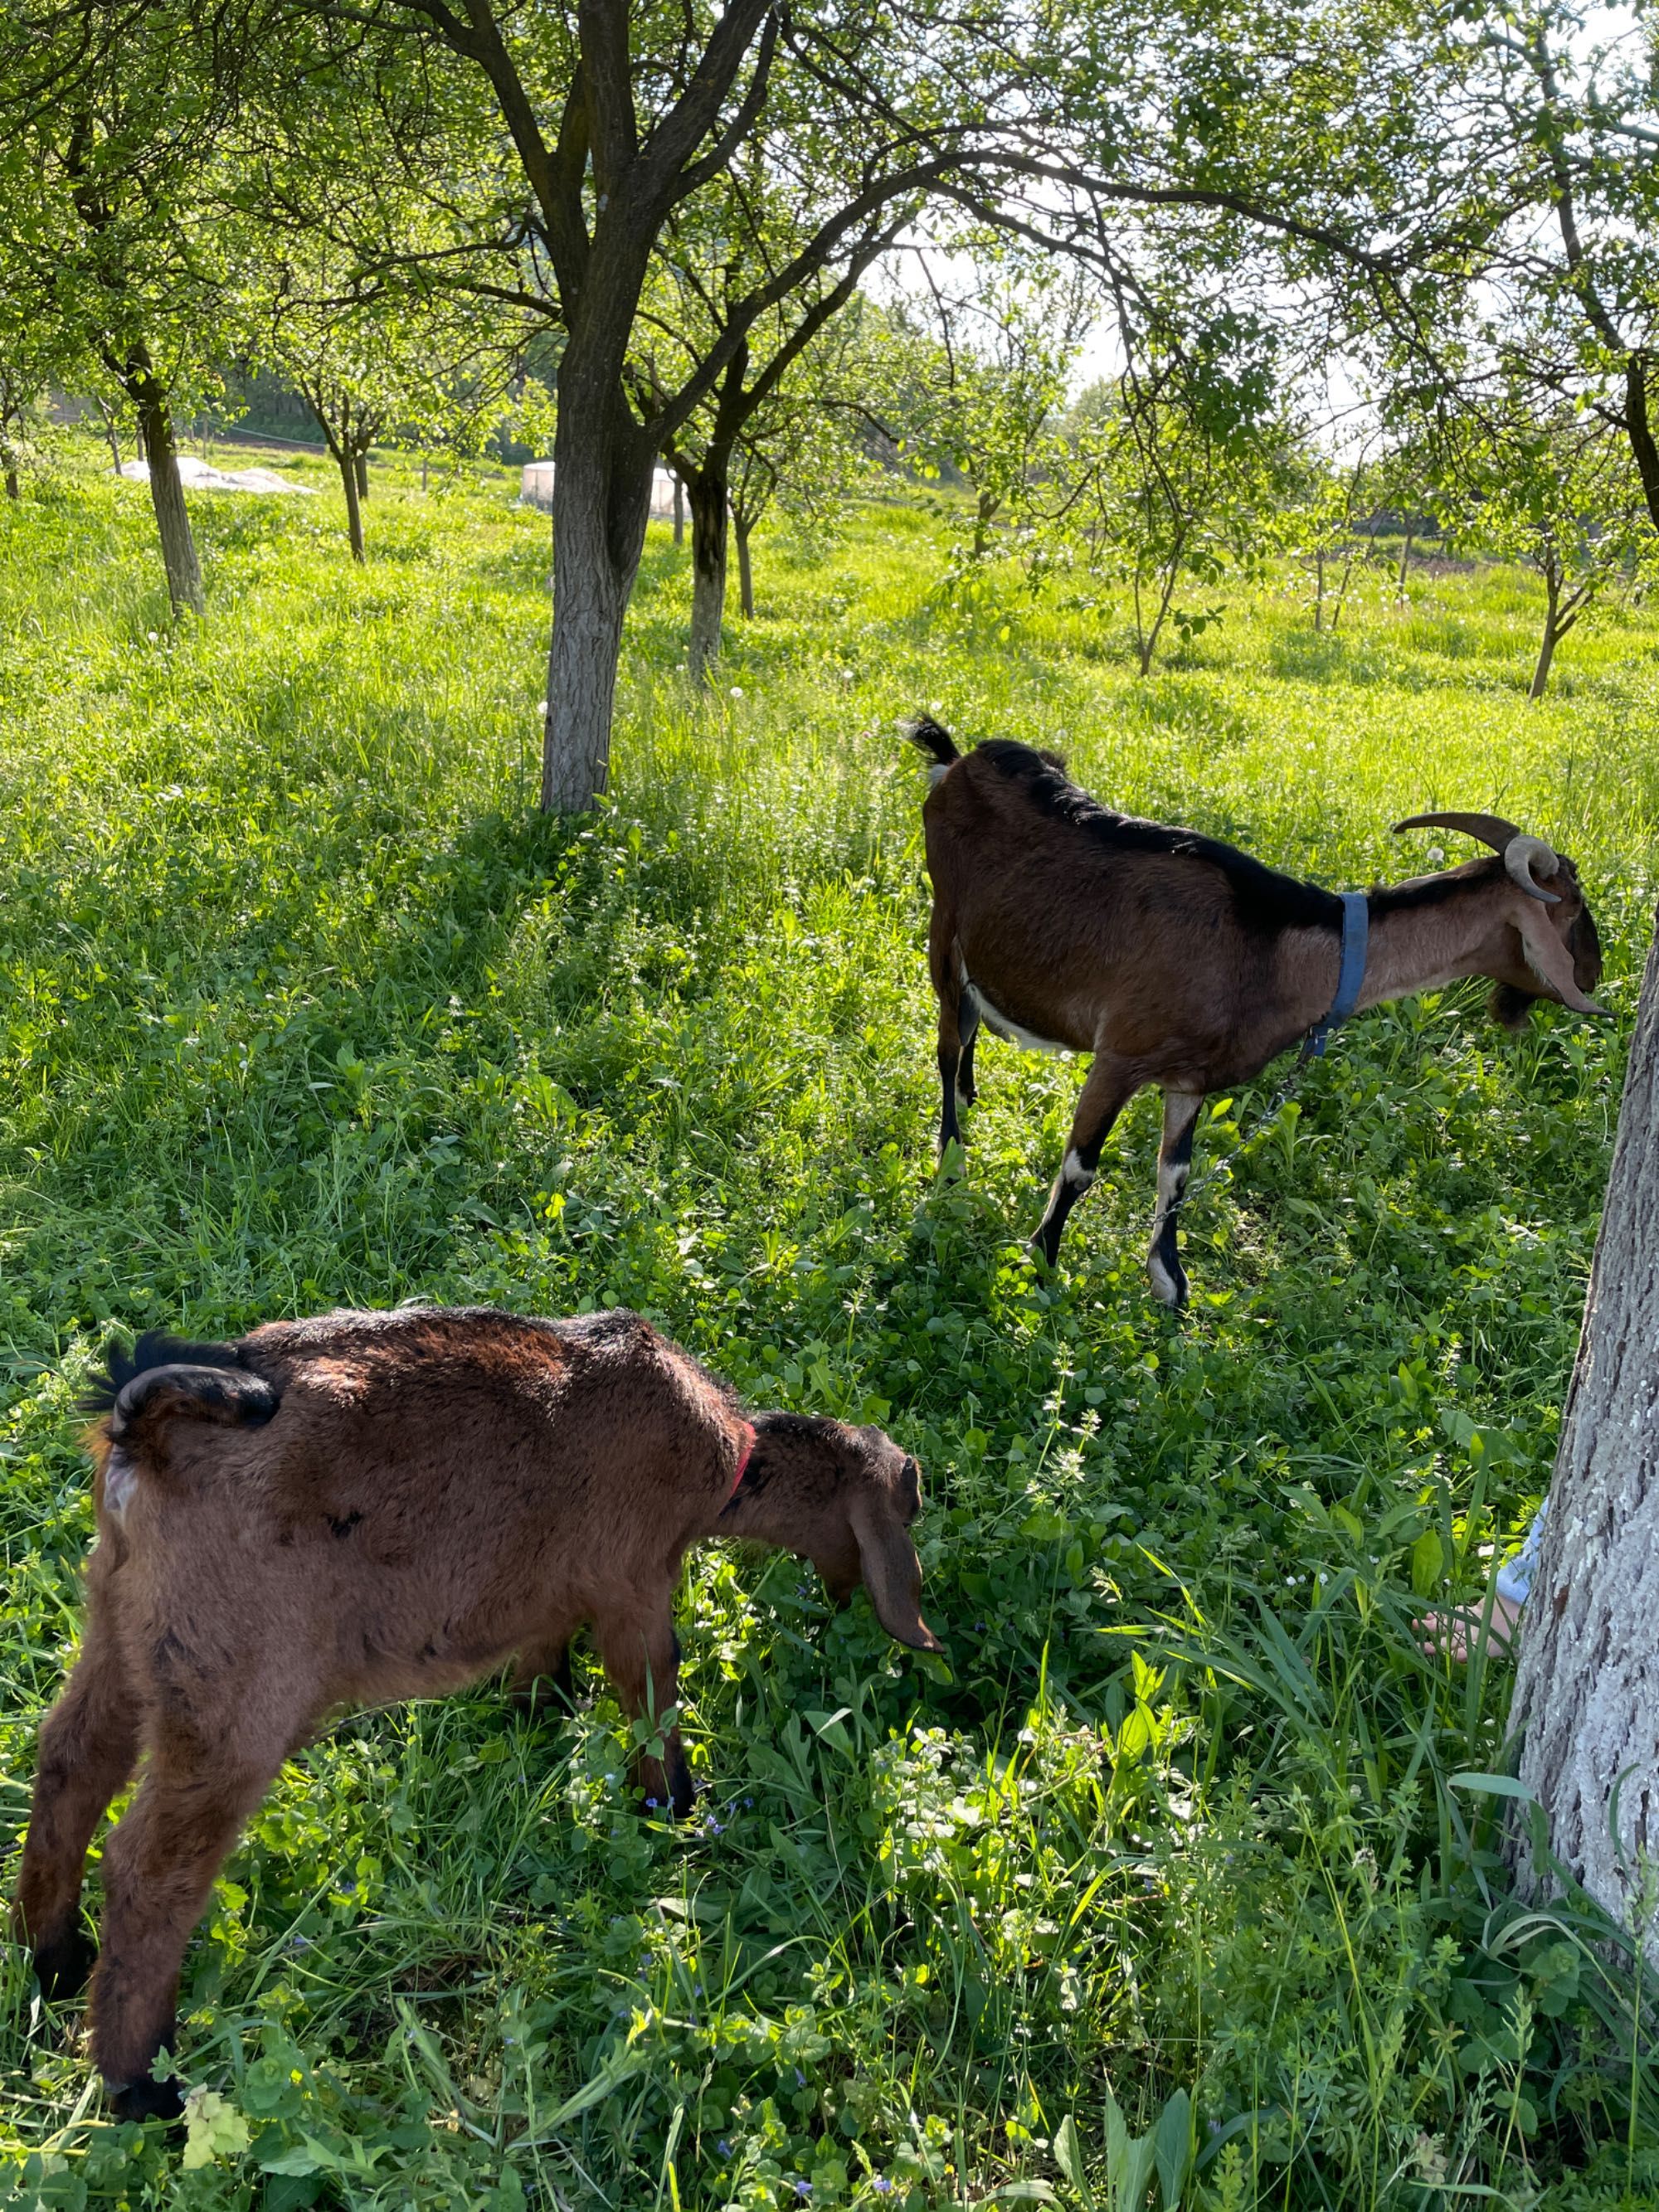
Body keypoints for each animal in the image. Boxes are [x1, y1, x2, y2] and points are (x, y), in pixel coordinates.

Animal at [916, 717, 1601, 1300]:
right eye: (1572, 908)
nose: (1595, 973)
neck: (1270, 949)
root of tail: (956, 762)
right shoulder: (1121, 1054)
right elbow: (1082, 1166)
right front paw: (1042, 1260)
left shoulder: (1189, 1078)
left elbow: (1176, 1173)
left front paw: (1169, 1280)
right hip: (943, 928)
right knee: (948, 1042)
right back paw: (950, 1157)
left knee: (972, 1024)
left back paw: (973, 1098)